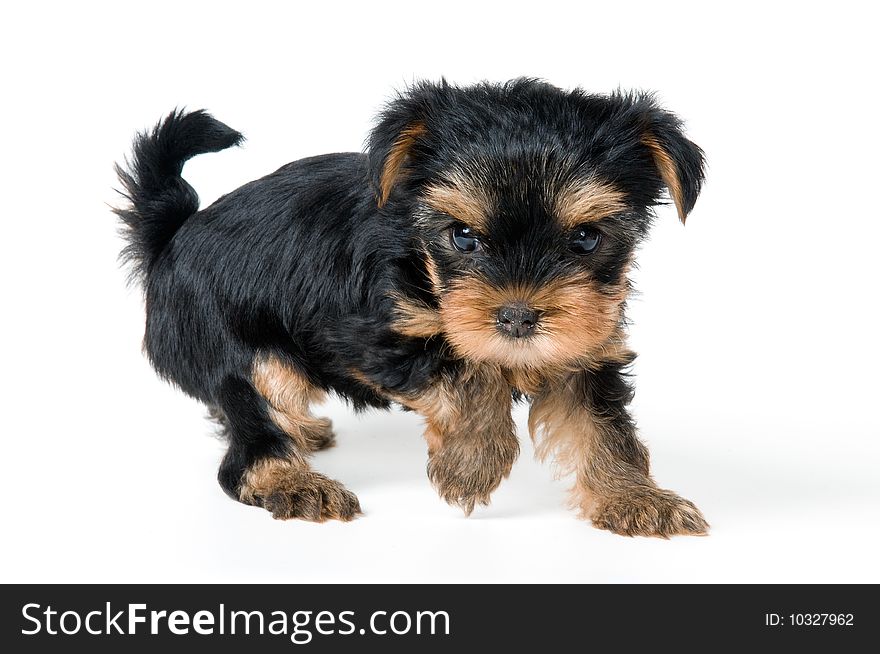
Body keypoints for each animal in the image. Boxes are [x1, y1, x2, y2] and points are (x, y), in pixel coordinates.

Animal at [115, 78, 708, 540]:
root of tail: (171, 237)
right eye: (463, 237)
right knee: (249, 430)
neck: (422, 260)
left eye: (586, 239)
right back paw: (294, 480)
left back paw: (302, 432)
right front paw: (471, 464)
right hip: (234, 348)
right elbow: (465, 374)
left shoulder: (585, 347)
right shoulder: (366, 333)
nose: (518, 317)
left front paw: (635, 498)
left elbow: (602, 427)